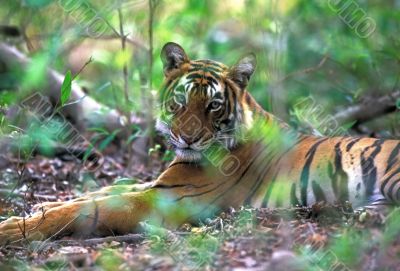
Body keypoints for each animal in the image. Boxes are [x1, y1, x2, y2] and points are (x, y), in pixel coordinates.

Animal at [0, 41, 400, 246]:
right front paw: (36, 208)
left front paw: (15, 229)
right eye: (181, 100)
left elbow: (89, 209)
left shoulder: (168, 198)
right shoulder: (156, 183)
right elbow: (98, 192)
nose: (188, 138)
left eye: (213, 105)